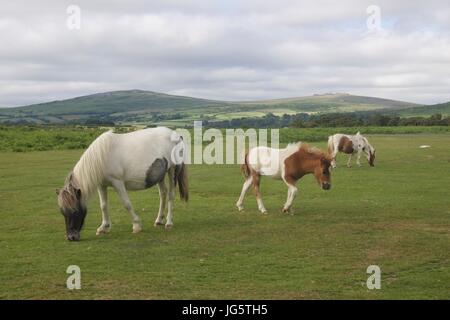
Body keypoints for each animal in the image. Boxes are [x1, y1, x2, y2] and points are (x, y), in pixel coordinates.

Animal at [56, 126, 188, 241]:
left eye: (74, 211)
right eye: (62, 212)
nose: (71, 237)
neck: (102, 157)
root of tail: (176, 135)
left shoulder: (117, 183)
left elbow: (126, 204)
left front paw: (136, 225)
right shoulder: (101, 185)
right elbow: (103, 205)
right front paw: (103, 227)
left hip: (173, 170)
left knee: (170, 195)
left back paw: (169, 222)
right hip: (160, 175)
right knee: (163, 194)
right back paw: (159, 220)